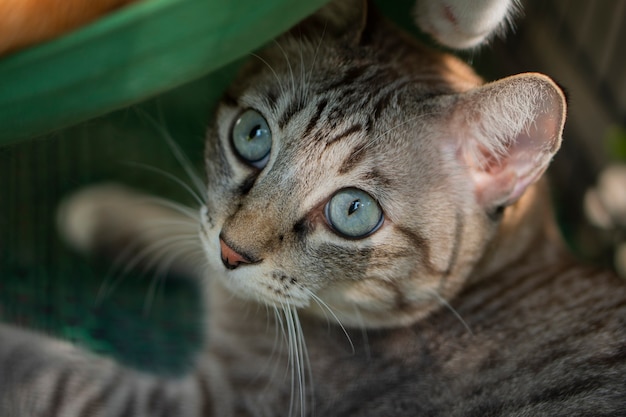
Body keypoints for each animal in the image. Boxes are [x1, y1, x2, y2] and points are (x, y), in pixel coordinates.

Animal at [1, 0, 624, 414]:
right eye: (251, 135)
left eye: (353, 213)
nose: (232, 252)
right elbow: (186, 230)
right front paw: (107, 211)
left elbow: (45, 369)